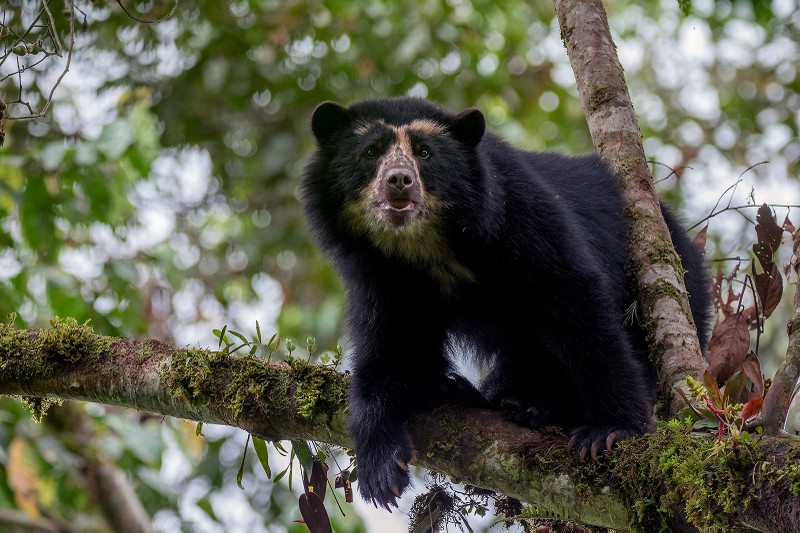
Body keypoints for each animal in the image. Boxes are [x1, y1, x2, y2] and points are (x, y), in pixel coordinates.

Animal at [300, 97, 712, 510]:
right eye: (371, 151)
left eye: (424, 152)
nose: (399, 181)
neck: (427, 245)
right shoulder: (381, 277)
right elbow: (390, 349)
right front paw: (381, 470)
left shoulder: (517, 213)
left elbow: (576, 304)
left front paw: (610, 431)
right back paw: (475, 394)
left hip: (673, 273)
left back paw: (534, 407)